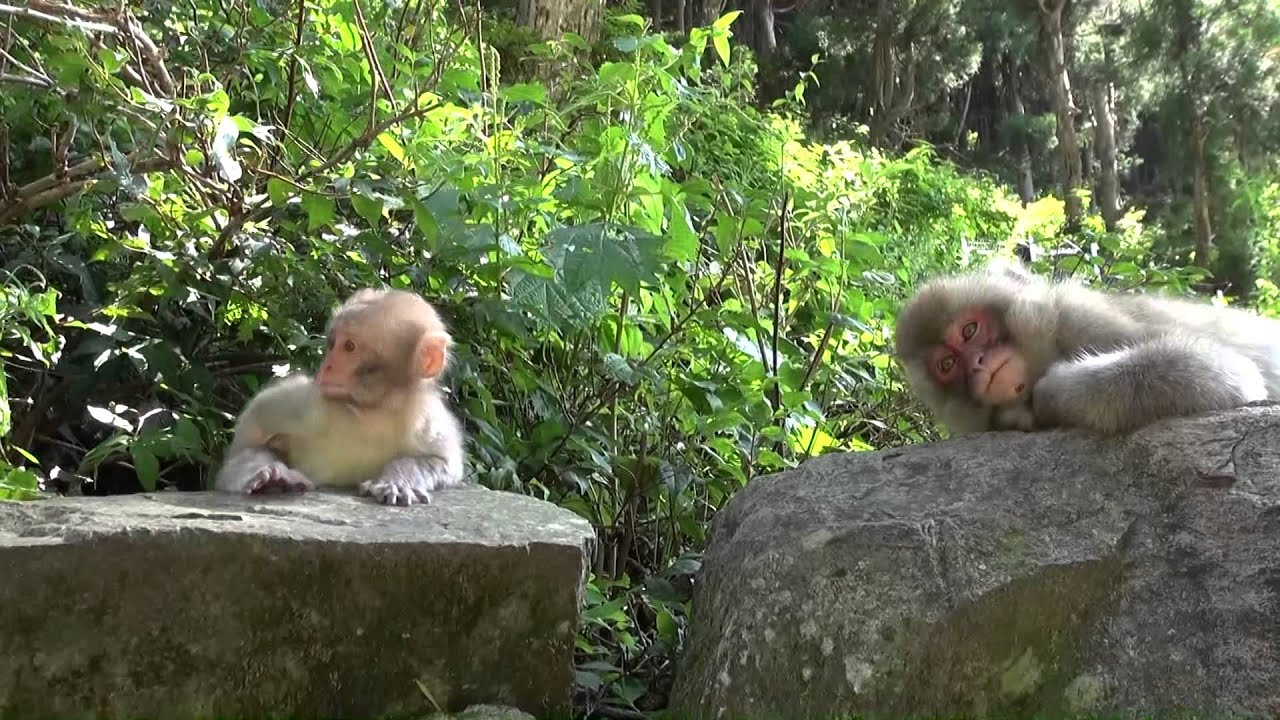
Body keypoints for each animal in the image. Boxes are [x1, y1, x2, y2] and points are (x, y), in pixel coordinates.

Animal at [213, 288, 466, 505]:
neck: (371, 411)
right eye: (333, 343)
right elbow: (241, 452)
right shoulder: (304, 405)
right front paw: (273, 476)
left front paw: (397, 480)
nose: (327, 366)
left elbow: (443, 463)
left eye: (350, 346)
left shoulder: (425, 420)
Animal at [893, 260, 1280, 436]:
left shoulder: (1078, 316)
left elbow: (1216, 369)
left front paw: (1050, 392)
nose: (977, 362)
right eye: (947, 365)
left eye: (969, 330)